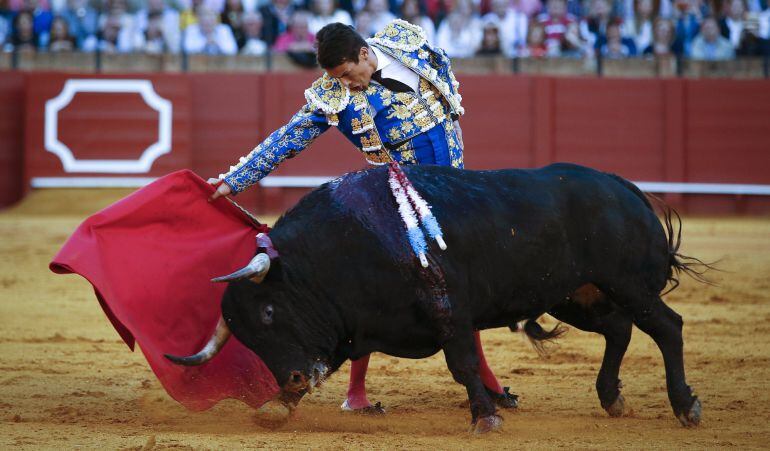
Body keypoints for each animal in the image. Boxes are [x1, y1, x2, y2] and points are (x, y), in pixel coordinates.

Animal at [165, 163, 704, 434]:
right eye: (249, 338)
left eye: (270, 312)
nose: (293, 380)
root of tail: (624, 188)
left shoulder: (450, 314)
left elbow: (462, 364)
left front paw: (485, 417)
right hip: (575, 294)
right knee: (618, 329)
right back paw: (612, 399)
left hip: (627, 285)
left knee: (667, 327)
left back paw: (685, 407)